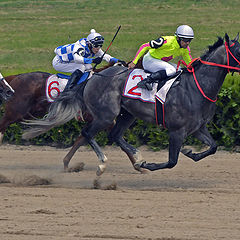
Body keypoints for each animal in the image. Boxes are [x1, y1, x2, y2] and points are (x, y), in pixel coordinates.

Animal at [22, 34, 240, 174]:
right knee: (87, 133)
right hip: (106, 115)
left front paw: (190, 152)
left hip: (127, 114)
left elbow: (213, 147)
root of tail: (93, 75)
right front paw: (147, 165)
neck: (195, 87)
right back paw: (104, 163)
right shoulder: (176, 130)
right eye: (239, 49)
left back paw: (135, 158)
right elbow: (171, 161)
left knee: (114, 135)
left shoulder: (198, 128)